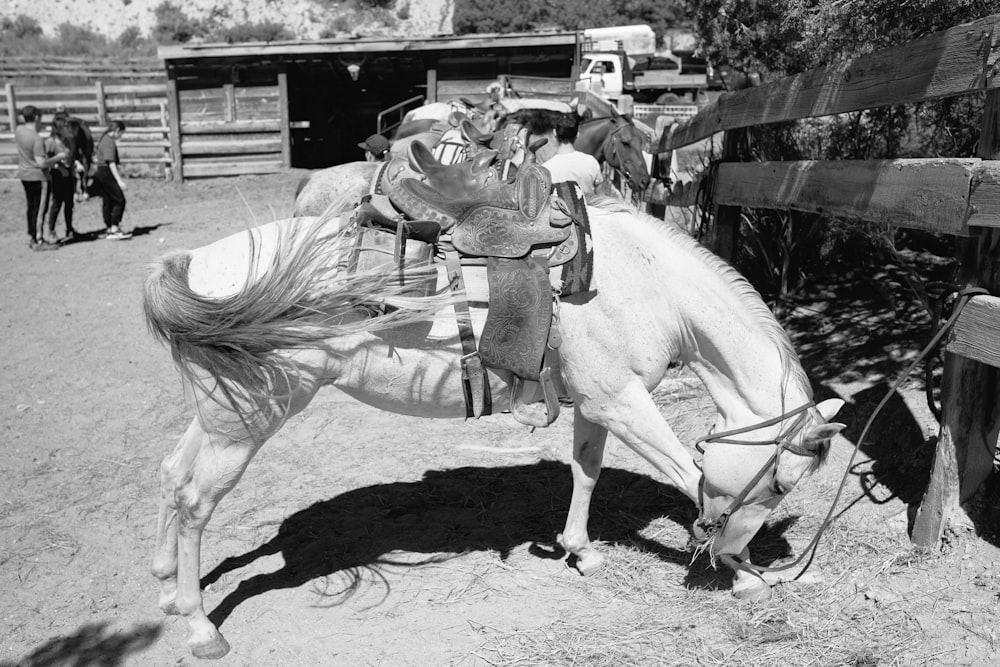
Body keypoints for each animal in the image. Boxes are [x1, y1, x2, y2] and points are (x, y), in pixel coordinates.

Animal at [141, 198, 844, 656]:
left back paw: (169, 590)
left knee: (173, 477)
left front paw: (579, 550)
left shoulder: (595, 405)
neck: (647, 283)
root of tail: (197, 262)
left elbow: (586, 474)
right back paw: (201, 628)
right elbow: (687, 474)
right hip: (246, 422)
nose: (738, 554)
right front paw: (746, 578)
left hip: (220, 416)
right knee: (197, 500)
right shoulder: (622, 403)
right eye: (781, 484)